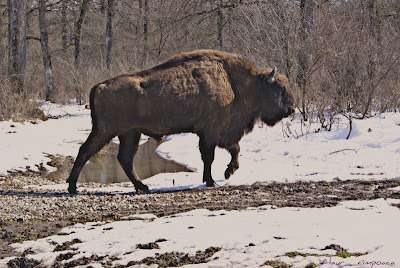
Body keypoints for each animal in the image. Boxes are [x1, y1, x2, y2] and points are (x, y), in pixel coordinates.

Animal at [67, 49, 296, 194]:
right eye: (279, 88)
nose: (291, 109)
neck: (235, 83)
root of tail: (99, 86)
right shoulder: (210, 132)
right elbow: (209, 157)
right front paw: (211, 181)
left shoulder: (222, 132)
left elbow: (234, 149)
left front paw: (228, 172)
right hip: (106, 130)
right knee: (85, 151)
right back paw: (72, 187)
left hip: (130, 133)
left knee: (125, 159)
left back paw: (142, 187)